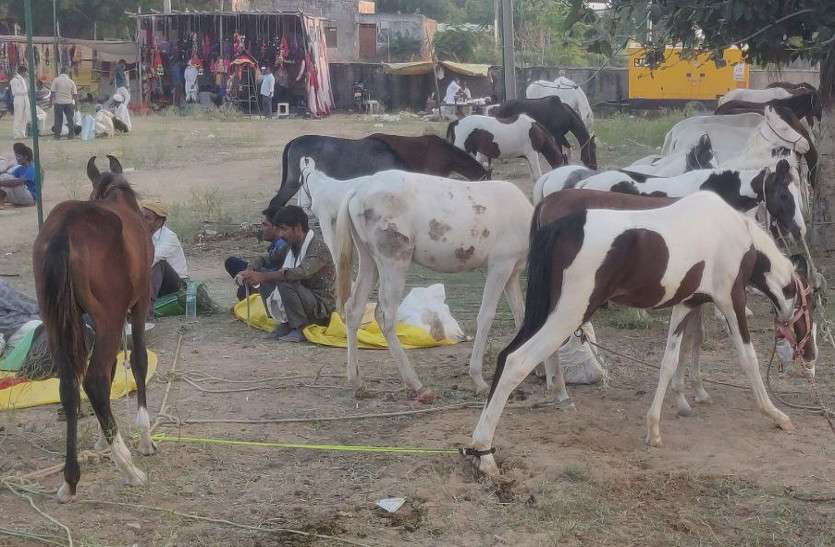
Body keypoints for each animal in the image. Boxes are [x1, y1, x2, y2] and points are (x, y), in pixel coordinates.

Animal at [32, 156, 156, 504]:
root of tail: (65, 230)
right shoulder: (139, 304)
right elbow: (138, 361)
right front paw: (143, 437)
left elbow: (115, 368)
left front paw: (104, 438)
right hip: (111, 317)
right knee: (95, 380)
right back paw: (128, 468)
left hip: (56, 321)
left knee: (70, 385)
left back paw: (70, 479)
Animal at [334, 169, 528, 400]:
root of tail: (355, 192)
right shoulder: (500, 265)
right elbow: (486, 316)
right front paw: (479, 380)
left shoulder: (513, 273)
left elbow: (521, 315)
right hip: (394, 260)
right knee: (385, 315)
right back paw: (416, 384)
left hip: (368, 259)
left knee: (353, 309)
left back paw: (357, 383)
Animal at [466, 192, 820, 476]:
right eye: (812, 307)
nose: (811, 358)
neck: (738, 235)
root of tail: (558, 226)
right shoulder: (730, 299)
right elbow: (748, 358)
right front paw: (776, 414)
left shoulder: (686, 304)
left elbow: (669, 361)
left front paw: (654, 429)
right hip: (568, 315)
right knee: (517, 361)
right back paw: (485, 455)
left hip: (546, 313)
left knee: (504, 357)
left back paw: (480, 448)